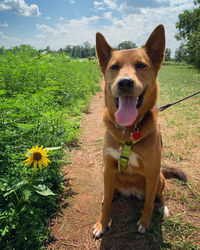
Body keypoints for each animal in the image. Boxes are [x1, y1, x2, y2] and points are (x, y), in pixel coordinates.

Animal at [93, 24, 187, 238]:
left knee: (157, 197)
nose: (125, 82)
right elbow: (106, 206)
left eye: (141, 65)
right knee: (110, 192)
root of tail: (132, 192)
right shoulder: (108, 168)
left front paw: (145, 222)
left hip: (159, 178)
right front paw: (102, 224)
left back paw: (162, 207)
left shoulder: (152, 172)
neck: (128, 131)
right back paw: (110, 195)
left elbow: (148, 204)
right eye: (114, 67)